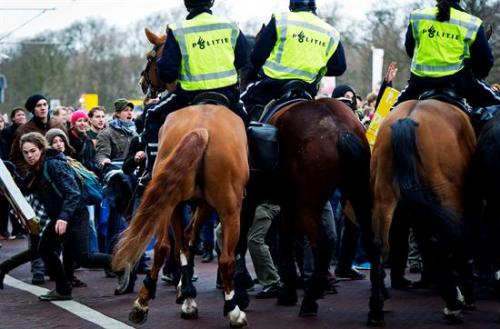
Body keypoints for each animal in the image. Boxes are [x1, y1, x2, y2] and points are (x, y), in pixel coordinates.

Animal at [111, 28, 248, 326]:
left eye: (150, 56)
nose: (143, 83)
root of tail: (203, 129)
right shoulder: (204, 204)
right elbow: (188, 240)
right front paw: (187, 295)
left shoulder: (189, 204)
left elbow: (183, 244)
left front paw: (185, 296)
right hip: (229, 208)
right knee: (225, 258)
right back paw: (233, 309)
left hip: (173, 202)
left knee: (165, 246)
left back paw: (143, 303)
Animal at [372, 99, 476, 322]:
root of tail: (408, 119)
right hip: (448, 196)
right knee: (446, 240)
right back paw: (453, 302)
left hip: (383, 196)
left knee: (380, 245)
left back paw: (376, 308)